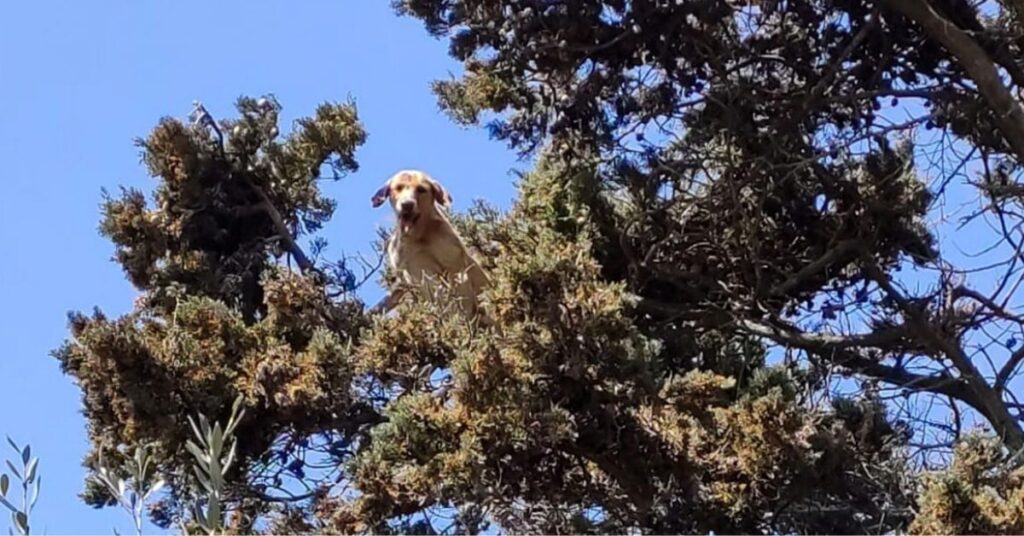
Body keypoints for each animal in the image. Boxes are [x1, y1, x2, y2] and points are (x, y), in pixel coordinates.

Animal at [372, 170, 491, 317]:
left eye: (421, 189)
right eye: (398, 188)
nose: (407, 204)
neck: (419, 236)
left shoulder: (454, 263)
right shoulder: (410, 271)